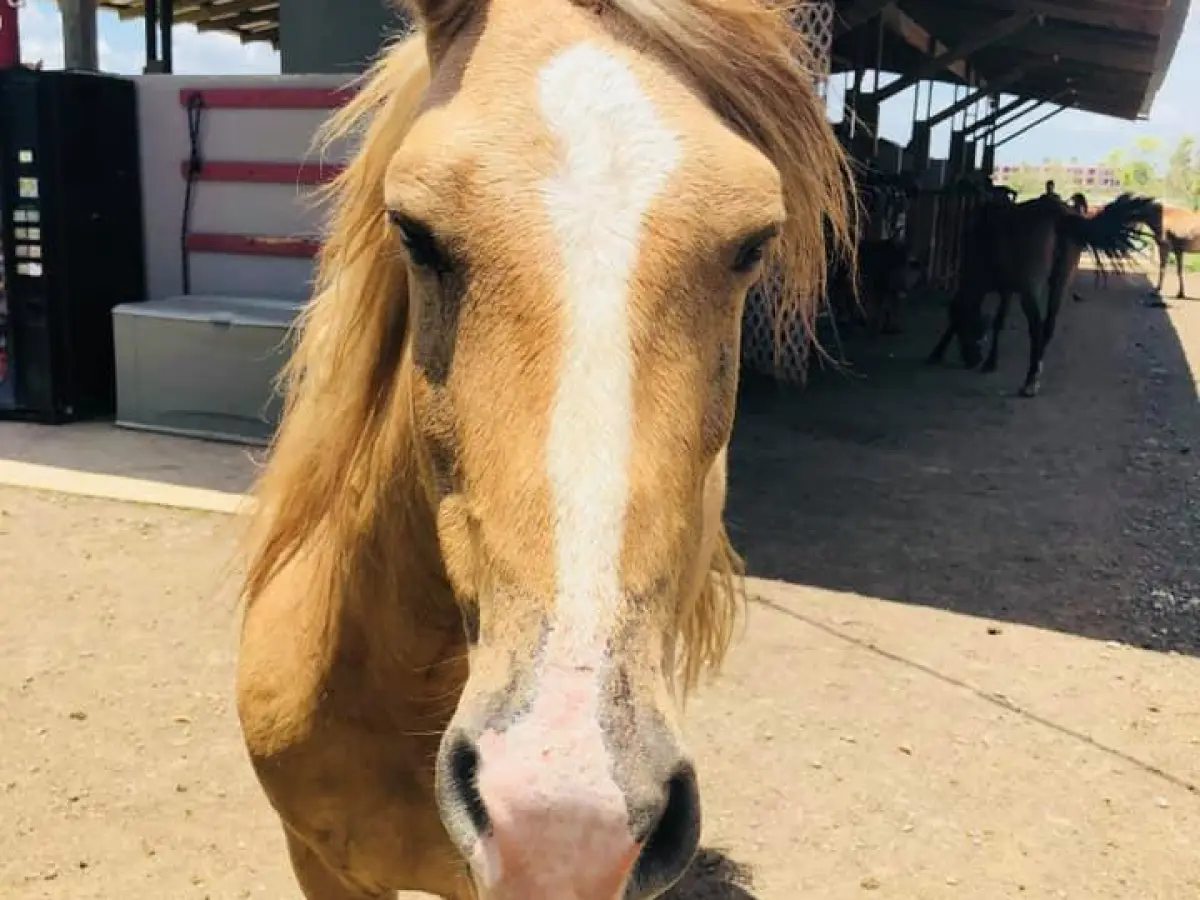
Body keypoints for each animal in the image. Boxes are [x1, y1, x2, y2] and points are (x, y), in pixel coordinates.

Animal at [926, 192, 1151, 397]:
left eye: (969, 328)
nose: (974, 360)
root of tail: (1059, 214)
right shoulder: (1007, 289)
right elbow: (999, 320)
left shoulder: (1005, 288)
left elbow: (993, 320)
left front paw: (940, 353)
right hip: (1060, 281)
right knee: (1048, 325)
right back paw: (1036, 370)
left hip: (1030, 288)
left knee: (1036, 326)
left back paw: (1030, 381)